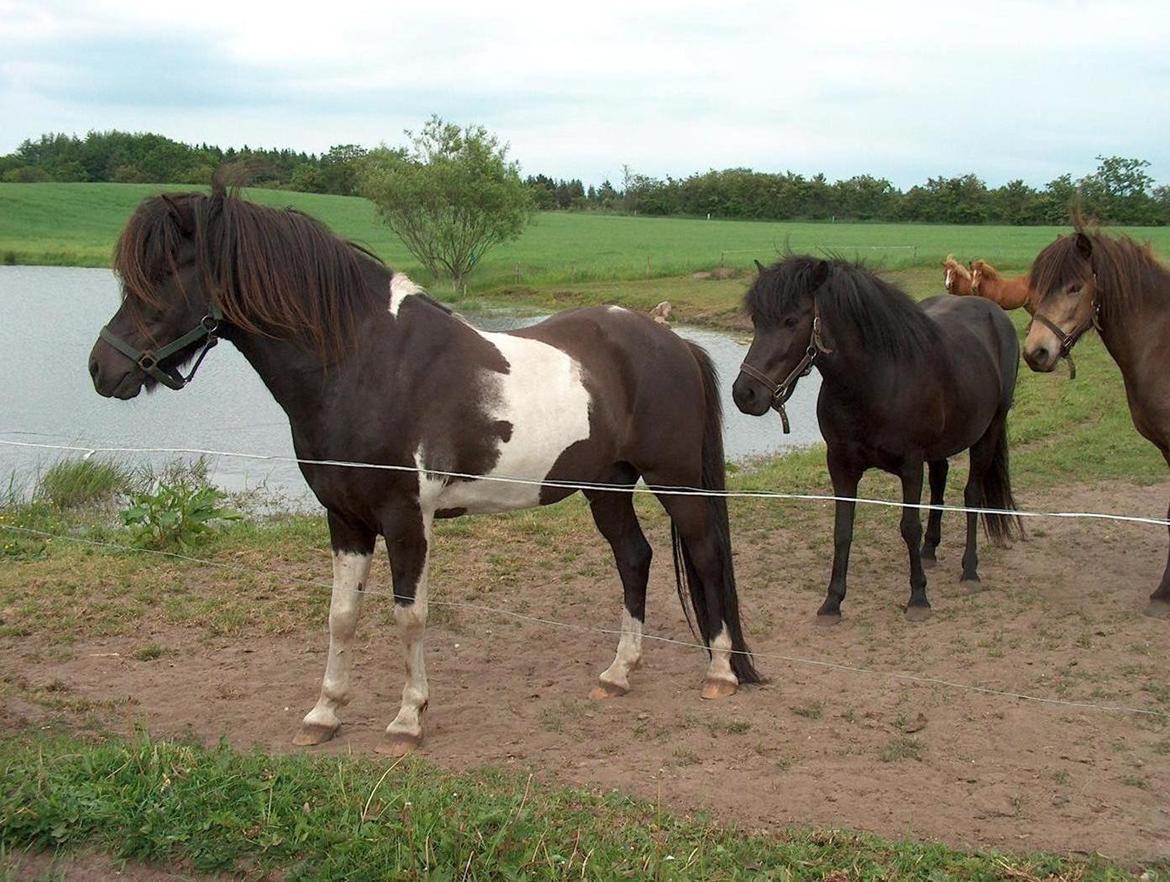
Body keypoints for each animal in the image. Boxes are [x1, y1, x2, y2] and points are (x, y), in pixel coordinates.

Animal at [88, 180, 758, 758]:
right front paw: (324, 714)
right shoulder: (346, 519)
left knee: (703, 554)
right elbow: (342, 616)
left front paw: (407, 720)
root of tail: (672, 341)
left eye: (163, 275)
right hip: (606, 486)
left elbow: (408, 615)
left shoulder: (407, 517)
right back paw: (618, 673)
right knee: (634, 558)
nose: (102, 369)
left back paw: (720, 672)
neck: (368, 365)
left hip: (675, 482)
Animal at [730, 256, 1024, 617]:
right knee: (939, 483)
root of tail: (995, 313)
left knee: (972, 495)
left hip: (988, 432)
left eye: (790, 321)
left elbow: (908, 526)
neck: (874, 382)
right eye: (757, 320)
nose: (745, 394)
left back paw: (969, 569)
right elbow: (842, 530)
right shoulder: (840, 464)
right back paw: (930, 550)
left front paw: (918, 596)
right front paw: (832, 601)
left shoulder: (910, 465)